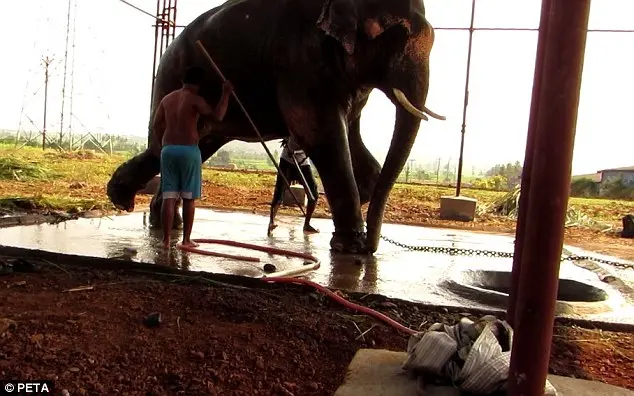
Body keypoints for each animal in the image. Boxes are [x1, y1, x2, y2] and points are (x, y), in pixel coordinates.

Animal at [106, 0, 442, 254]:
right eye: (395, 37)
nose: (371, 247)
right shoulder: (301, 61)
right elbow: (319, 134)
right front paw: (348, 247)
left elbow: (351, 139)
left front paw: (355, 224)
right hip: (171, 75)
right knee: (162, 146)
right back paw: (123, 200)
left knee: (197, 146)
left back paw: (161, 220)